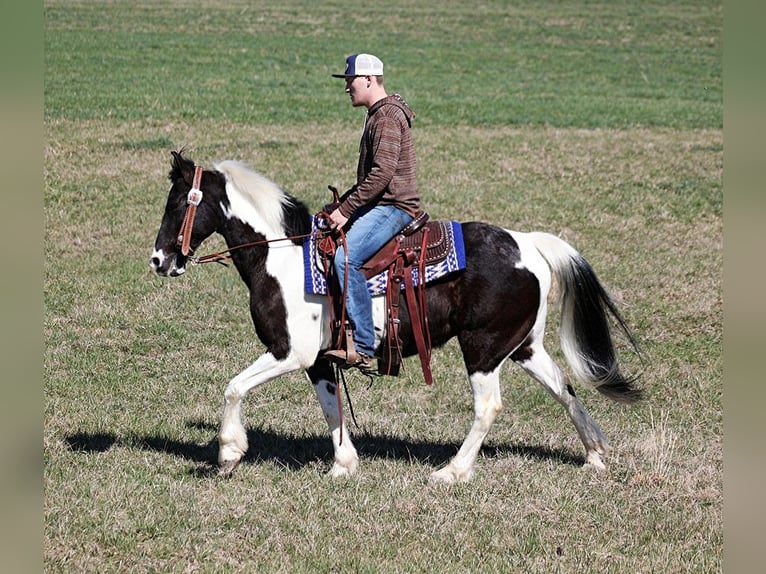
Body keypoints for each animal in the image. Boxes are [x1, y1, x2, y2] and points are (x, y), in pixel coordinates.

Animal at [150, 151, 640, 484]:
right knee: (564, 388)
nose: (158, 260)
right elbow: (331, 407)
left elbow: (234, 387)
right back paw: (594, 455)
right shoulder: (319, 360)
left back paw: (452, 471)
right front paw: (344, 465)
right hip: (523, 346)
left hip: (482, 348)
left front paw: (229, 453)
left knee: (489, 406)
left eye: (177, 204)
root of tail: (529, 243)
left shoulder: (290, 351)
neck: (283, 256)